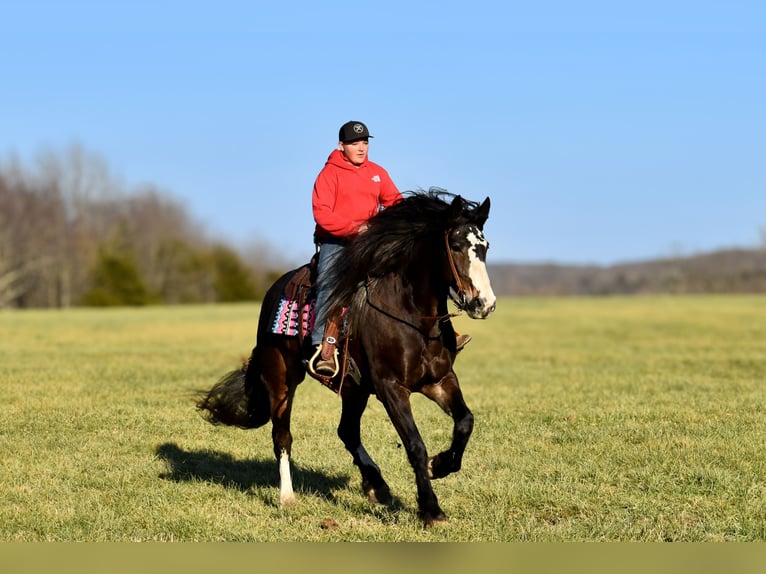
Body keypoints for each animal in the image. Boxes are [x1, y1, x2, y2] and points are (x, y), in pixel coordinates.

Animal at [196, 190, 498, 528]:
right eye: (456, 245)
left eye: (485, 246)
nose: (484, 304)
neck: (412, 317)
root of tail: (274, 290)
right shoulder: (392, 389)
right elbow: (415, 445)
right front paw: (431, 509)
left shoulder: (440, 381)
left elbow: (465, 422)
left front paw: (440, 465)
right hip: (282, 379)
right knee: (282, 436)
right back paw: (287, 498)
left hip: (354, 389)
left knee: (347, 431)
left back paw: (376, 486)